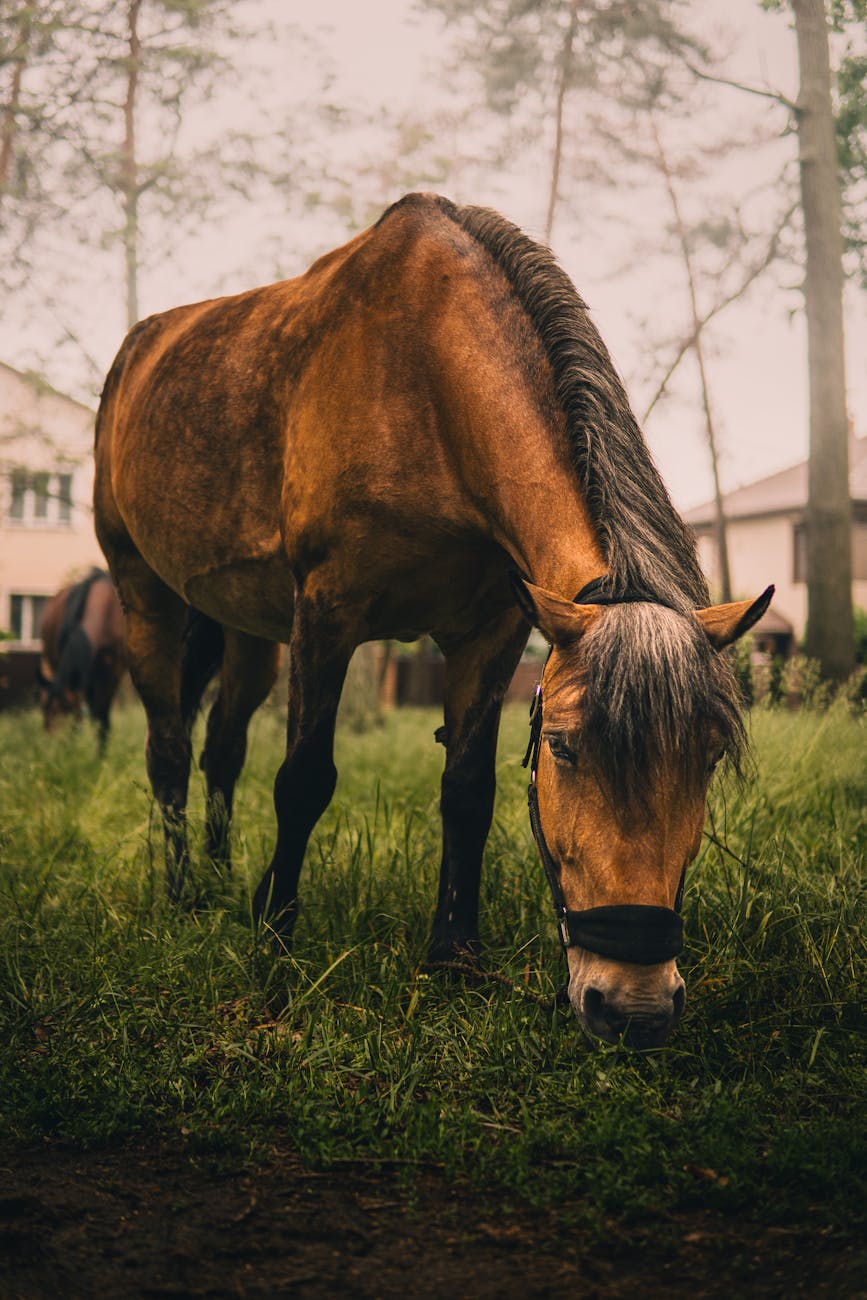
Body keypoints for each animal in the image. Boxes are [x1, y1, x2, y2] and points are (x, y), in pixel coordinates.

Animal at [38, 568, 127, 751]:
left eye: (66, 709)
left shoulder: (115, 667)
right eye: (44, 711)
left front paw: (101, 754)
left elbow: (102, 713)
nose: (52, 748)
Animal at [93, 193, 772, 1047]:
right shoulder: (327, 611)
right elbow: (303, 780)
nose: (634, 1007)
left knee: (221, 751)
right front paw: (276, 940)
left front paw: (455, 954)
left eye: (708, 754)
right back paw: (184, 893)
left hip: (249, 632)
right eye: (563, 747)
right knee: (171, 750)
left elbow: (467, 791)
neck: (423, 386)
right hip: (145, 595)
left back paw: (220, 883)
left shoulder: (493, 632)